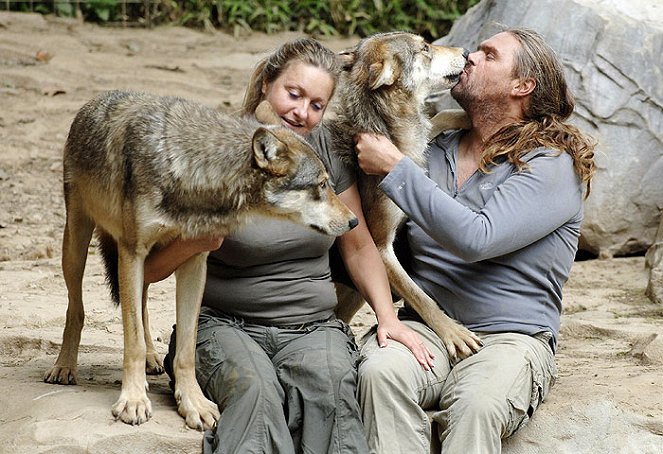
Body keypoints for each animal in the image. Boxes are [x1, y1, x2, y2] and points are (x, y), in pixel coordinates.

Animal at [44, 89, 360, 430]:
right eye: (321, 185)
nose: (354, 221)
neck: (194, 172)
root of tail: (96, 100)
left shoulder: (194, 261)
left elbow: (185, 350)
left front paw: (193, 403)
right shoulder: (132, 251)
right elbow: (133, 341)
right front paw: (133, 401)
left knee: (141, 304)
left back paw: (152, 359)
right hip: (76, 246)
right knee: (76, 309)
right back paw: (65, 366)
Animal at [330, 31, 482, 360]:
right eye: (424, 47)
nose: (466, 52)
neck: (386, 131)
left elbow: (442, 116)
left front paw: (470, 119)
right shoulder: (379, 246)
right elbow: (421, 296)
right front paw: (454, 334)